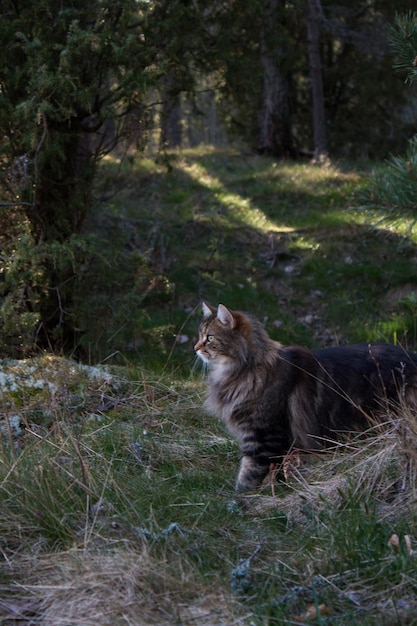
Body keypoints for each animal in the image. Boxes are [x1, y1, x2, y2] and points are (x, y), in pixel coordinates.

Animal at [193, 300, 417, 490]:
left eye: (209, 338)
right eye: (199, 336)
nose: (195, 348)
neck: (245, 369)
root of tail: (411, 357)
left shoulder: (264, 435)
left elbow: (249, 473)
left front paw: (240, 499)